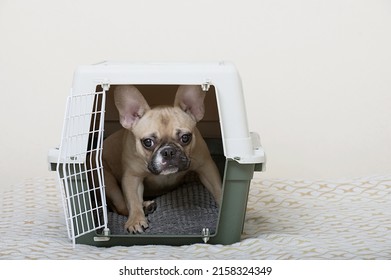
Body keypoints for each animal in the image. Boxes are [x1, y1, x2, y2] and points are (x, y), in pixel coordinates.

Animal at [102, 84, 222, 233]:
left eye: (185, 138)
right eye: (147, 142)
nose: (168, 151)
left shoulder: (206, 167)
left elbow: (217, 188)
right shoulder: (132, 177)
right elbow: (133, 201)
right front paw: (136, 220)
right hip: (109, 182)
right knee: (121, 207)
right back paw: (145, 206)